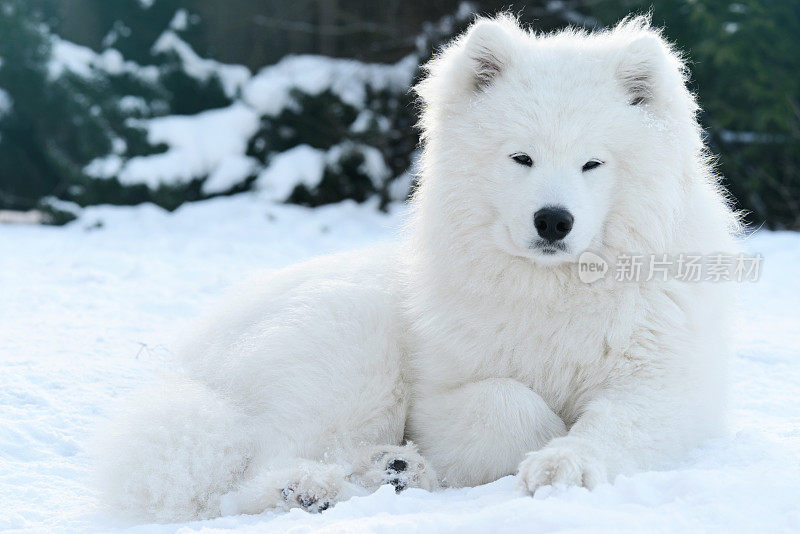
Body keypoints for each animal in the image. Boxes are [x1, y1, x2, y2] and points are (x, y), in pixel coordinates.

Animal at [98, 15, 736, 524]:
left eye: (593, 163)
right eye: (521, 157)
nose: (554, 221)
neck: (552, 289)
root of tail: (192, 364)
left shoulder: (662, 383)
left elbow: (615, 426)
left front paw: (563, 466)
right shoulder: (440, 395)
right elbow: (510, 406)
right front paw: (537, 447)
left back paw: (394, 469)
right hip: (351, 343)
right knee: (245, 480)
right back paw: (311, 487)